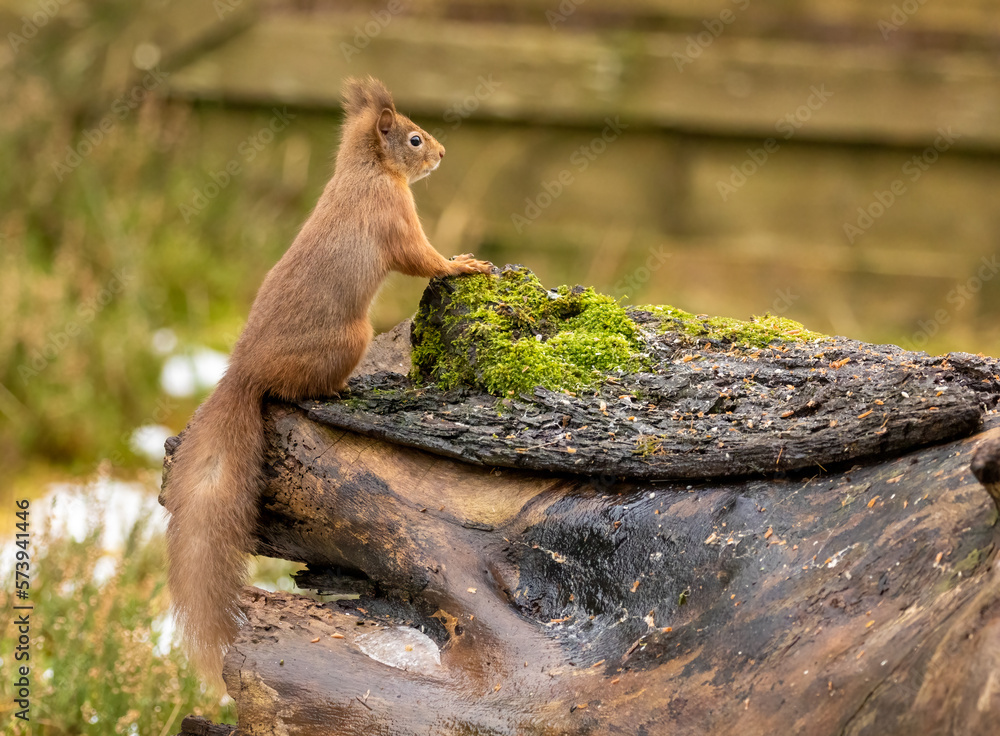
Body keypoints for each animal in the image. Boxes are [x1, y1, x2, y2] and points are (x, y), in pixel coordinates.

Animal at [163, 76, 493, 683]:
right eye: (413, 138)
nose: (440, 154)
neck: (366, 171)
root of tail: (245, 372)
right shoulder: (393, 216)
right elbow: (421, 258)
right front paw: (462, 264)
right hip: (352, 338)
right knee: (299, 391)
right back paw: (341, 390)